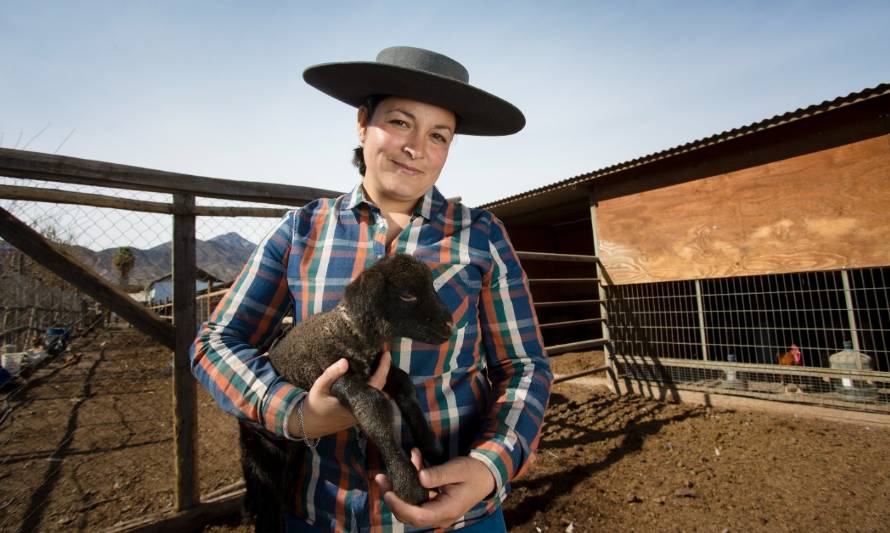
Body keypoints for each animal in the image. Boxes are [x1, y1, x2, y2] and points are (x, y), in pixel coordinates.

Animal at [238, 254, 450, 532]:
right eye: (406, 295)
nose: (450, 324)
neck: (350, 334)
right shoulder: (335, 375)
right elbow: (373, 407)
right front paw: (409, 486)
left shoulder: (378, 371)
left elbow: (405, 384)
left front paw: (434, 451)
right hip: (262, 456)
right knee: (267, 505)